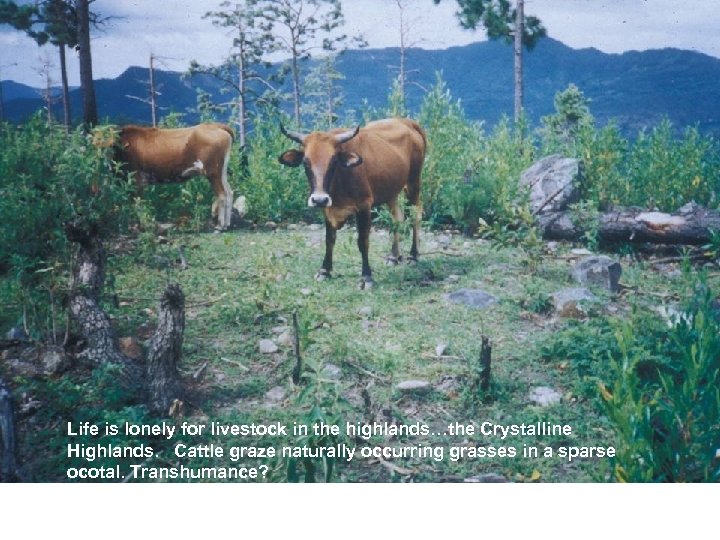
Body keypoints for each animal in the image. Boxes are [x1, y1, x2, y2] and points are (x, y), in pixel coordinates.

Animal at [280, 116, 428, 288]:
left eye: (333, 161)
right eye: (306, 162)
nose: (319, 199)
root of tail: (406, 121)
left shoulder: (364, 206)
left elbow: (363, 241)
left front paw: (366, 277)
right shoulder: (327, 208)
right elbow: (329, 239)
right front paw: (324, 270)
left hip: (413, 183)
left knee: (415, 215)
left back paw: (414, 255)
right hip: (391, 190)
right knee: (397, 217)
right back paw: (393, 256)